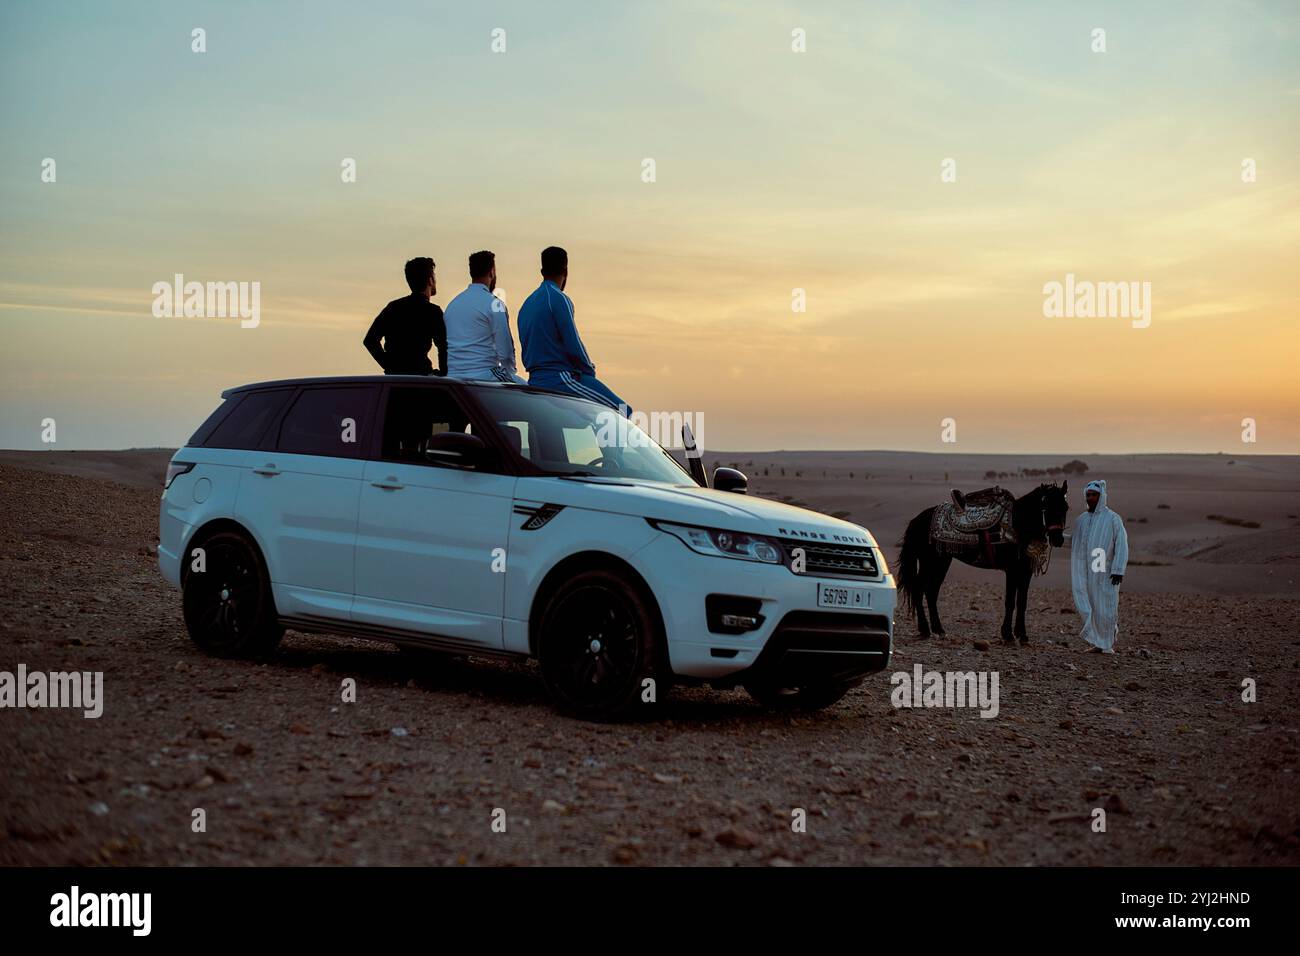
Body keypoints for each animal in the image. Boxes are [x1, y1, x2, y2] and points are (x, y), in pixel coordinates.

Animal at [899, 481, 1071, 647]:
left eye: (1065, 507)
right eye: (1045, 506)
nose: (1058, 539)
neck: (1018, 524)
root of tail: (917, 520)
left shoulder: (1025, 572)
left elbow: (1022, 603)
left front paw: (1022, 635)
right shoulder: (1012, 570)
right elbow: (1010, 602)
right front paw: (1008, 635)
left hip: (941, 562)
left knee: (931, 592)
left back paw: (938, 629)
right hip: (930, 561)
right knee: (918, 589)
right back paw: (924, 629)